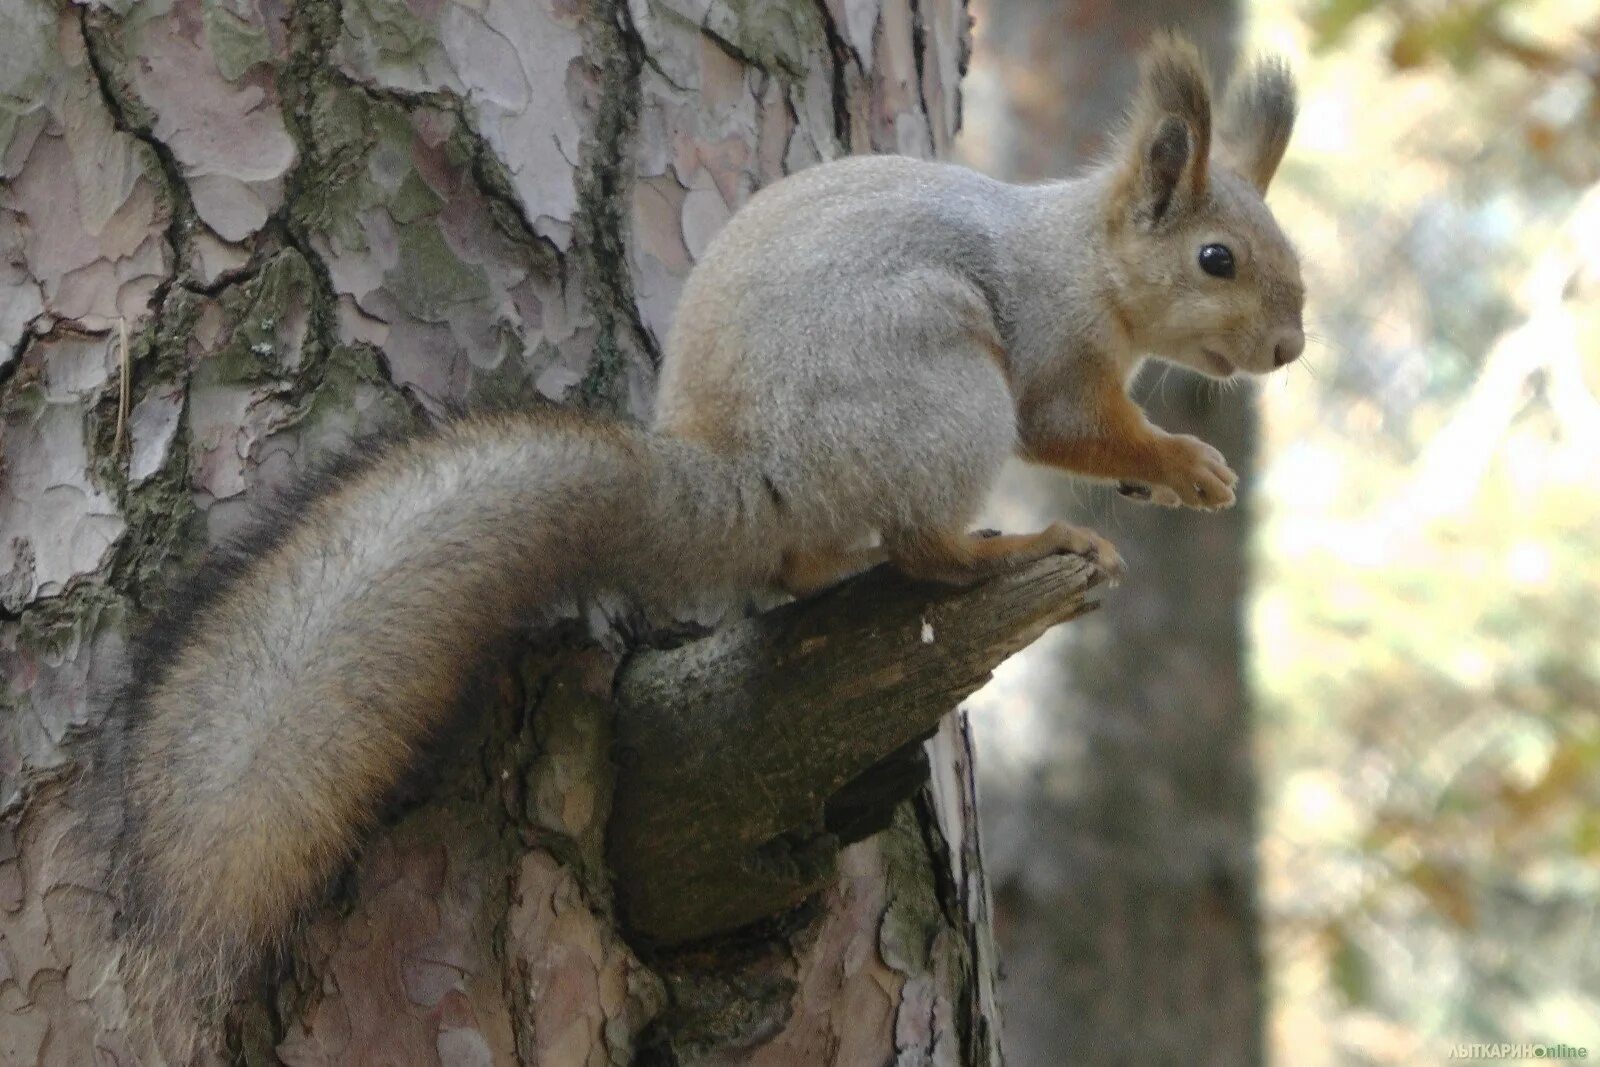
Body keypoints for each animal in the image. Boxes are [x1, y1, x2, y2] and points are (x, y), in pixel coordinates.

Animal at [103, 31, 1299, 1049]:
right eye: (1216, 258)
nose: (1289, 348)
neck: (1085, 255)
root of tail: (750, 480)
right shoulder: (1052, 348)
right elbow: (1071, 425)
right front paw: (1186, 465)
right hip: (947, 396)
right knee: (923, 550)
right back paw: (1006, 546)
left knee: (809, 564)